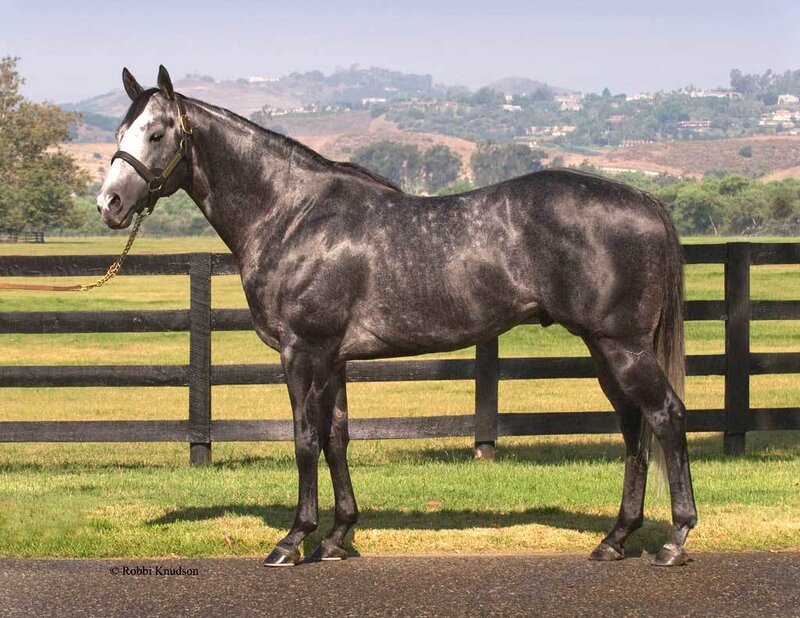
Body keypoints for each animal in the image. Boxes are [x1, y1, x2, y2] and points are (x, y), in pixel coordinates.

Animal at [97, 66, 697, 567]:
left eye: (156, 134)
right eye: (121, 131)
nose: (109, 204)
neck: (293, 215)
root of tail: (646, 199)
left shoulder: (303, 351)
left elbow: (304, 439)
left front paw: (294, 540)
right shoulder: (334, 359)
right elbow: (336, 437)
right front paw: (338, 537)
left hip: (621, 345)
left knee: (666, 416)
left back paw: (674, 540)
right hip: (604, 348)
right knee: (633, 426)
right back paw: (615, 539)